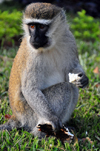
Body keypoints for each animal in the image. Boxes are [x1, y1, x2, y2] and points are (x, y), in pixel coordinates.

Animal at [0, 2, 88, 139]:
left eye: (41, 27)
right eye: (31, 26)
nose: (34, 38)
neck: (51, 45)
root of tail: (17, 116)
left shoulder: (69, 39)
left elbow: (71, 68)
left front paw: (83, 78)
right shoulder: (32, 57)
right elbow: (30, 89)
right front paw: (53, 119)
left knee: (72, 87)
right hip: (29, 114)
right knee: (66, 88)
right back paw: (41, 133)